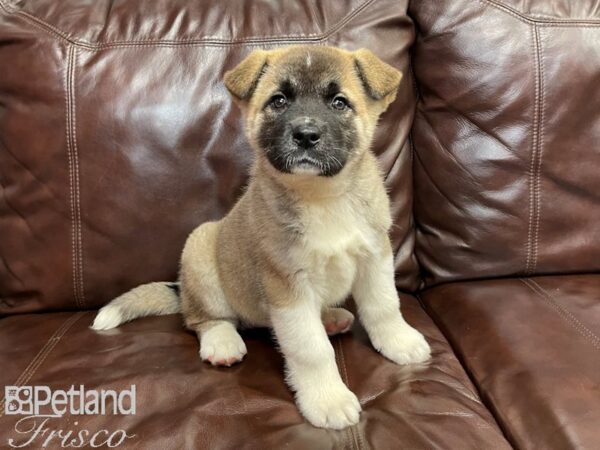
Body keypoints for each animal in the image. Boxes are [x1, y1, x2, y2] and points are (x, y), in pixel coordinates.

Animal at [92, 44, 432, 428]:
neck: (321, 196)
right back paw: (222, 343)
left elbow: (384, 306)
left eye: (339, 102)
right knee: (203, 319)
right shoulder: (287, 285)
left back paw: (331, 318)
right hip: (201, 249)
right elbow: (310, 348)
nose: (306, 135)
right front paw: (327, 399)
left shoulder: (375, 256)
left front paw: (399, 341)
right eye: (279, 100)